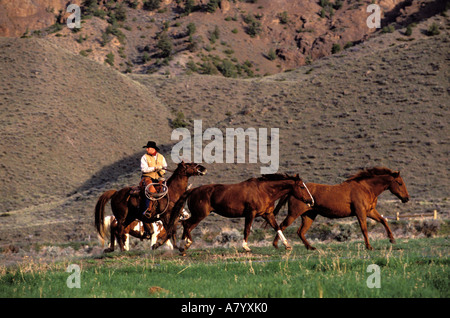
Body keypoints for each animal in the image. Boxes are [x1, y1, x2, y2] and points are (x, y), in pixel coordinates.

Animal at [169, 173, 312, 255]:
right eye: (302, 186)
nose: (311, 201)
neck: (264, 191)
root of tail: (193, 190)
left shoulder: (268, 214)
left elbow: (277, 228)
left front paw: (287, 245)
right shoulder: (251, 213)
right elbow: (246, 230)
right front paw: (246, 247)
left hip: (198, 216)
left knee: (186, 225)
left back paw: (183, 247)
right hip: (199, 215)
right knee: (186, 224)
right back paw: (185, 245)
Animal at [272, 166, 410, 251]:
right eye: (399, 183)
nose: (406, 198)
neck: (366, 188)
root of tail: (292, 191)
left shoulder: (370, 211)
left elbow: (383, 220)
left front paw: (392, 239)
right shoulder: (360, 212)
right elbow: (364, 229)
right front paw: (369, 247)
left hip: (309, 216)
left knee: (300, 232)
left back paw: (310, 247)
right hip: (293, 214)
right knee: (282, 226)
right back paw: (278, 245)